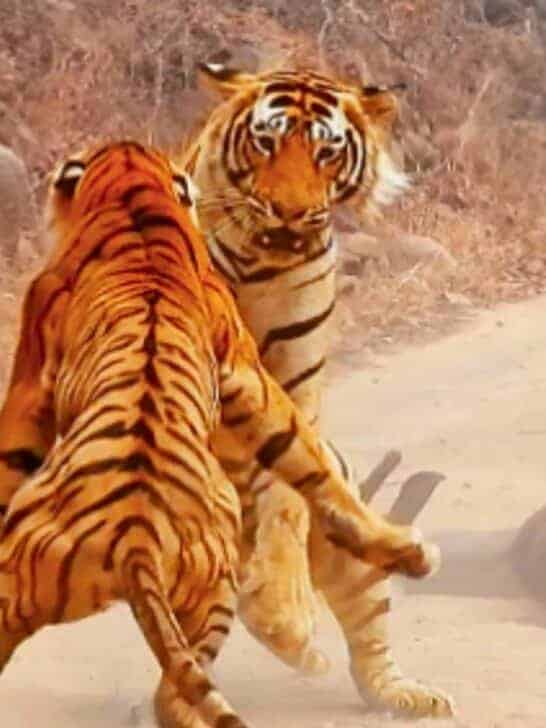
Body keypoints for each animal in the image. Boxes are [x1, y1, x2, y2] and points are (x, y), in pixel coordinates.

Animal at [0, 140, 440, 728]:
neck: (133, 196)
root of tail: (134, 545)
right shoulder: (246, 370)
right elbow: (308, 457)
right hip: (208, 584)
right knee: (178, 687)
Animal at [180, 63, 455, 717]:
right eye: (266, 142)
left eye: (327, 151)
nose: (288, 211)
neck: (260, 263)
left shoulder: (295, 384)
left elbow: (287, 498)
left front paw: (286, 617)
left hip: (356, 569)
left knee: (369, 636)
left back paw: (404, 692)